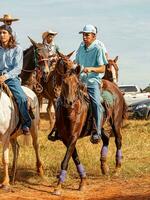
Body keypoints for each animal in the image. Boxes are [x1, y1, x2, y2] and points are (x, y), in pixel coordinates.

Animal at [51, 55, 126, 195]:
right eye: (64, 83)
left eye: (77, 84)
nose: (69, 102)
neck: (70, 112)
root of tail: (115, 88)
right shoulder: (65, 138)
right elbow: (74, 157)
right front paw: (83, 181)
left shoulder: (73, 137)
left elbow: (65, 160)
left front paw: (58, 186)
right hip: (99, 127)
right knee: (106, 138)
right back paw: (104, 166)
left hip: (116, 123)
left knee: (118, 140)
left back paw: (117, 168)